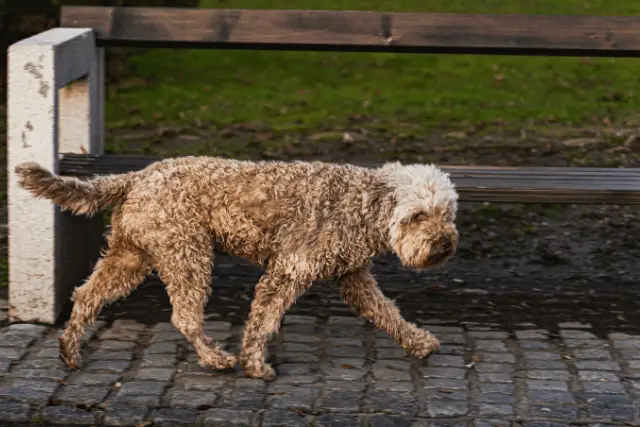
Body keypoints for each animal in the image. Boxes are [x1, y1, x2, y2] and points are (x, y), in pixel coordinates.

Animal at [13, 157, 456, 382]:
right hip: (187, 254)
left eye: (446, 212)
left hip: (131, 257)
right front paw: (255, 365)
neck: (362, 205)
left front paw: (417, 342)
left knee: (86, 295)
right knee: (184, 316)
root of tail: (137, 176)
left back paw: (69, 351)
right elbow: (263, 320)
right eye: (419, 215)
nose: (445, 244)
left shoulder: (354, 278)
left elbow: (387, 313)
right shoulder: (289, 270)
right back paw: (215, 359)